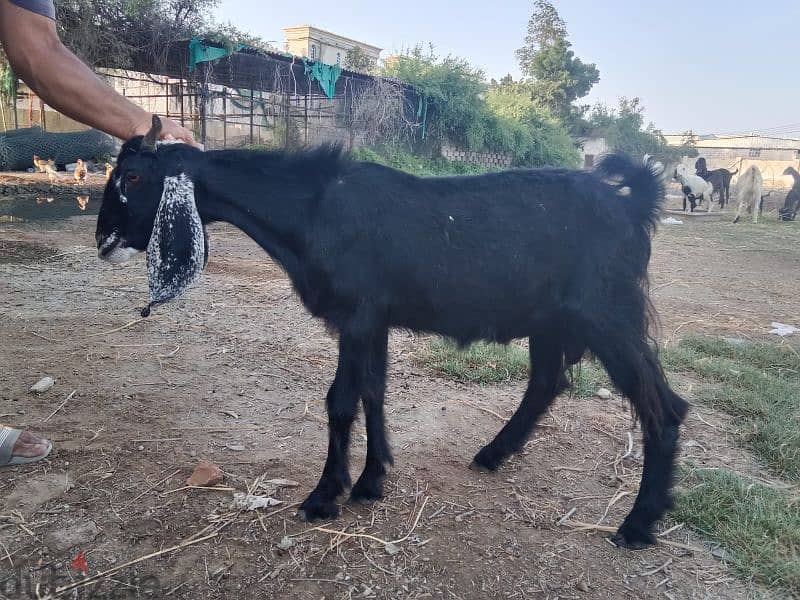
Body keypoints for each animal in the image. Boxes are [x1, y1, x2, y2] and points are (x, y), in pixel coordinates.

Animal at [97, 116, 688, 548]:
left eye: (133, 179)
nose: (103, 240)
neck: (314, 209)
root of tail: (634, 204)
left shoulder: (359, 314)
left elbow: (341, 399)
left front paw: (325, 495)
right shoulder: (370, 320)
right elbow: (370, 392)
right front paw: (371, 480)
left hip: (608, 314)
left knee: (663, 404)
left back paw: (637, 524)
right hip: (553, 317)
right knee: (547, 381)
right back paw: (494, 454)